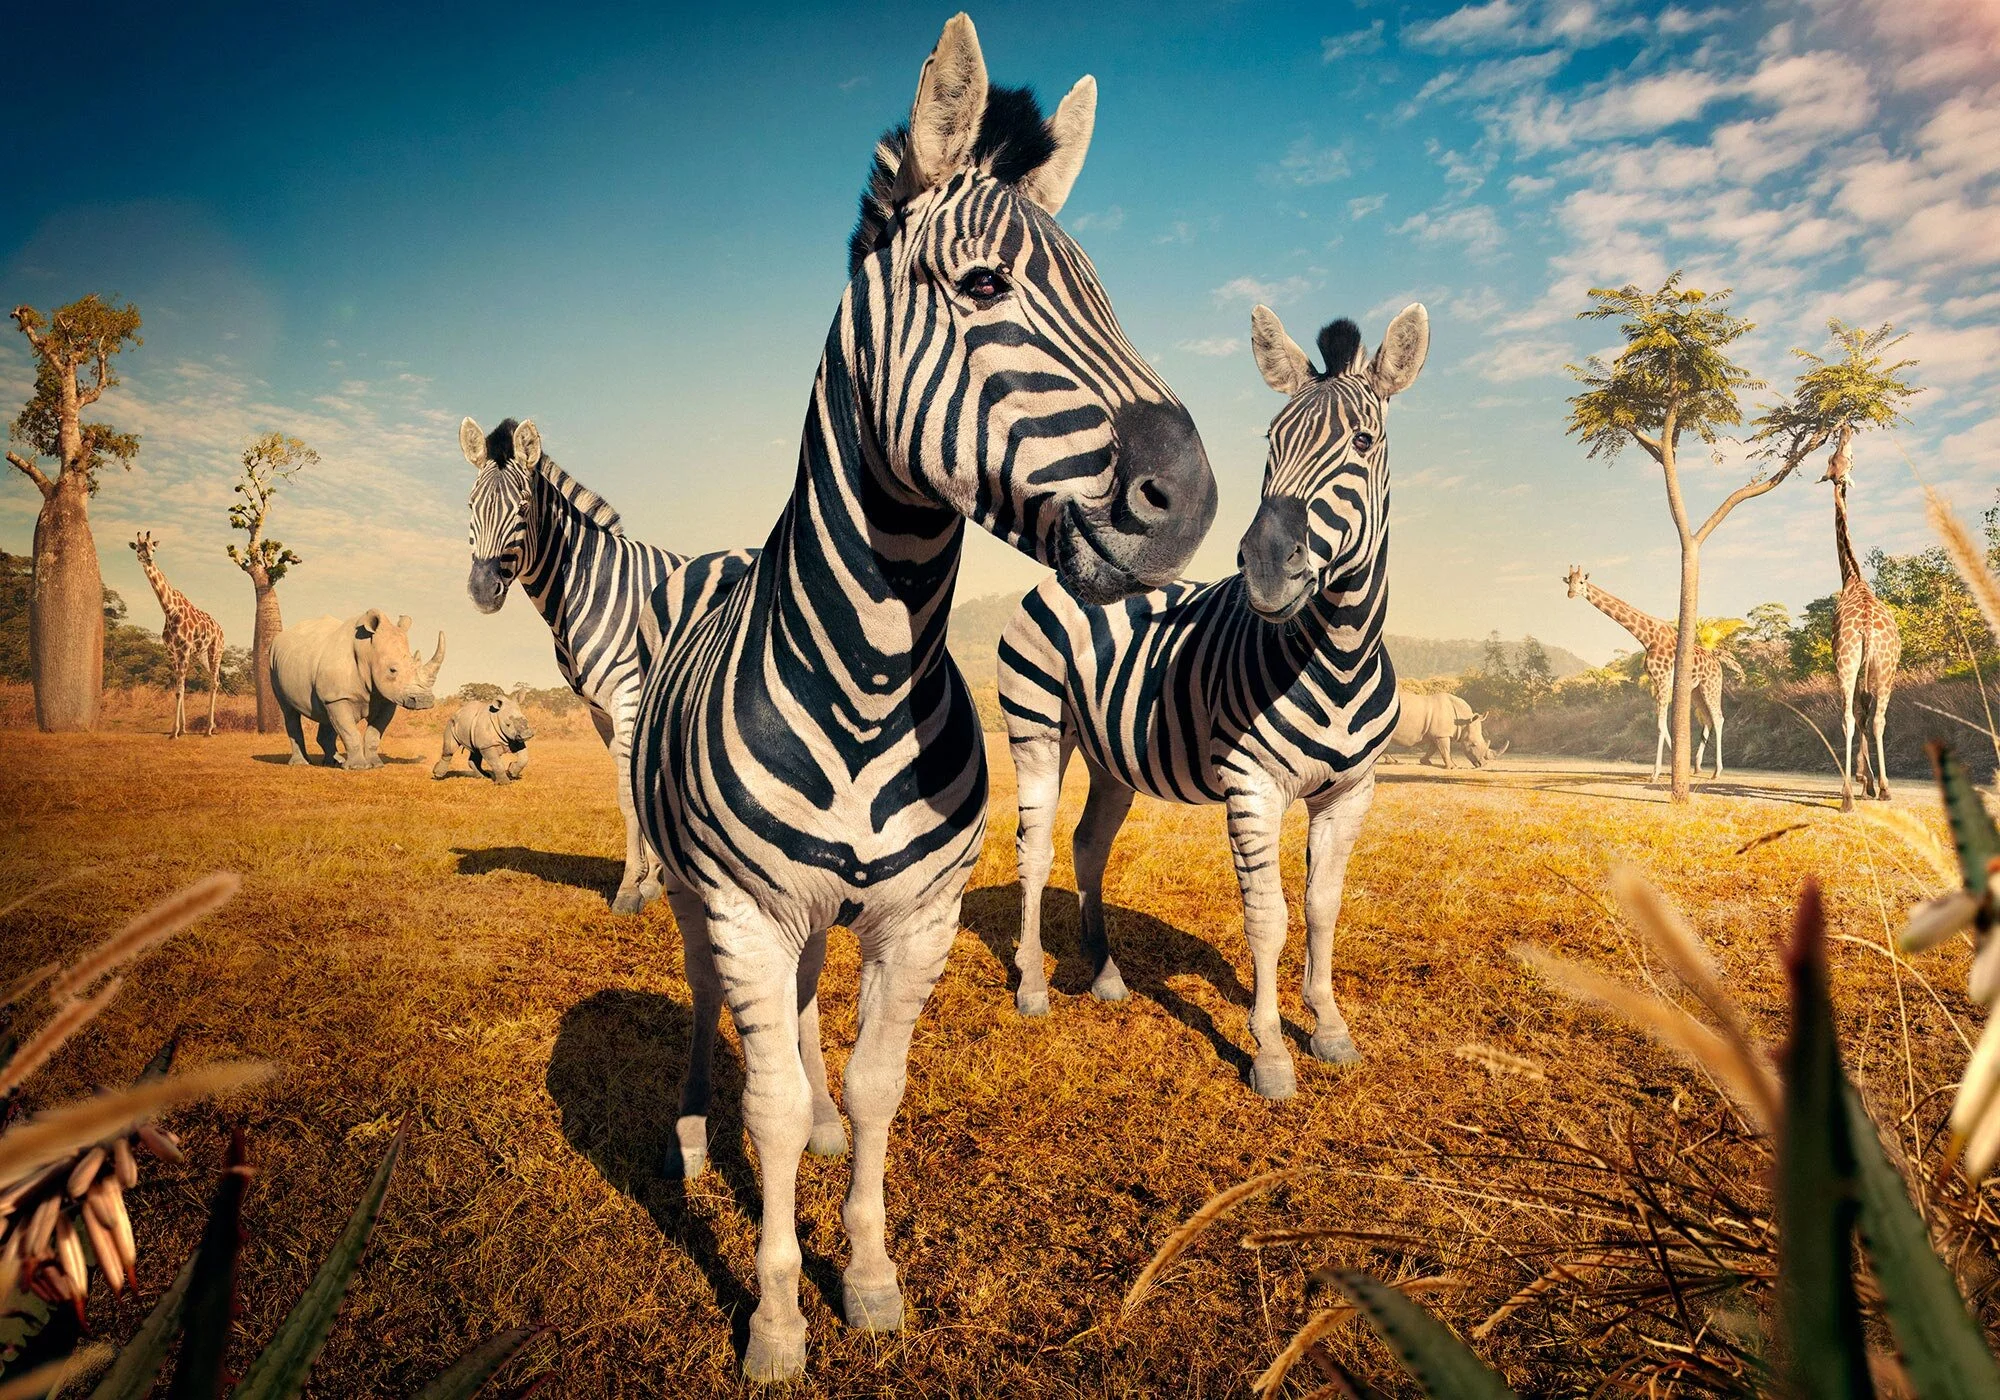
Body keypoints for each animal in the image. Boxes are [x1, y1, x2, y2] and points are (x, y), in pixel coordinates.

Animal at [457, 415, 755, 913]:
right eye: (470, 506)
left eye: (523, 508)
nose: (481, 591)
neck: (585, 589)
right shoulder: (599, 710)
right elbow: (626, 793)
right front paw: (654, 879)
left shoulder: (630, 694)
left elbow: (634, 793)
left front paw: (632, 887)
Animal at [629, 15, 1215, 1382]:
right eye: (984, 288)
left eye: (1109, 296)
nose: (1192, 500)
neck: (865, 674)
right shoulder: (747, 905)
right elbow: (767, 1097)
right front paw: (777, 1317)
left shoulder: (917, 917)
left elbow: (873, 1084)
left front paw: (868, 1272)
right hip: (695, 895)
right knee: (713, 1011)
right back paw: (691, 1133)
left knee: (799, 1021)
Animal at [997, 302, 1429, 1101]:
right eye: (1271, 442)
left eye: (1362, 442)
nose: (1263, 564)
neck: (1338, 653)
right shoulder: (1252, 785)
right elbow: (1268, 919)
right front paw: (1271, 1054)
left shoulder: (1352, 790)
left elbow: (1322, 908)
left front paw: (1330, 1028)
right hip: (1036, 728)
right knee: (1034, 850)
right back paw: (1034, 986)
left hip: (1110, 757)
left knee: (1088, 844)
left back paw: (1104, 975)